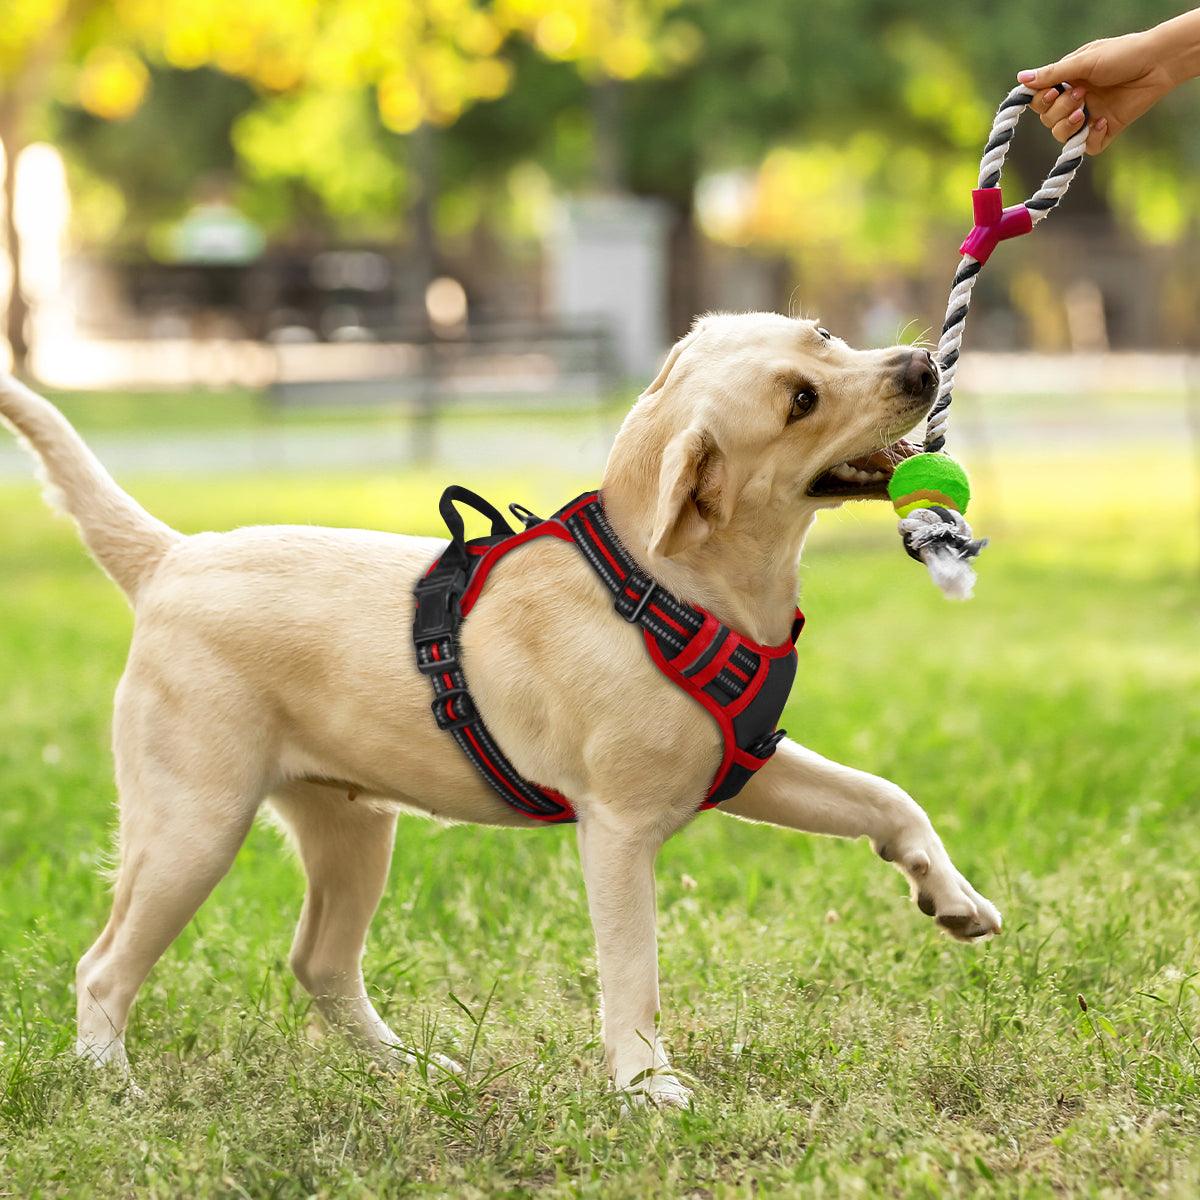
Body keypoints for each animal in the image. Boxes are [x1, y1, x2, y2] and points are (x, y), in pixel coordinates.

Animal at [0, 314, 998, 1108]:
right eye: (800, 400)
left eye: (822, 334)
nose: (921, 365)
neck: (664, 585)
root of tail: (171, 558)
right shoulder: (618, 831)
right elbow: (634, 973)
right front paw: (647, 1086)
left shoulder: (747, 764)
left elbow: (885, 798)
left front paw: (952, 897)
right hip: (193, 826)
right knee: (103, 968)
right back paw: (112, 1086)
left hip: (352, 829)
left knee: (319, 963)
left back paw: (407, 1070)